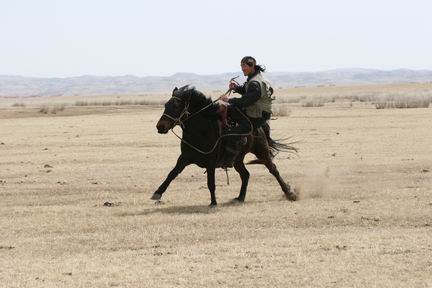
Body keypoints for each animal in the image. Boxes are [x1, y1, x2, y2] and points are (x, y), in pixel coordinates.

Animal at [152, 84, 296, 206]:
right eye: (166, 104)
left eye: (176, 106)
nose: (160, 126)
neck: (202, 130)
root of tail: (259, 127)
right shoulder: (184, 158)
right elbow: (172, 174)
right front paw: (157, 193)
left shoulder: (210, 162)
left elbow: (211, 183)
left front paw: (213, 203)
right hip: (237, 160)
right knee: (245, 175)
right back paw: (240, 198)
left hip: (262, 152)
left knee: (273, 170)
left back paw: (290, 193)